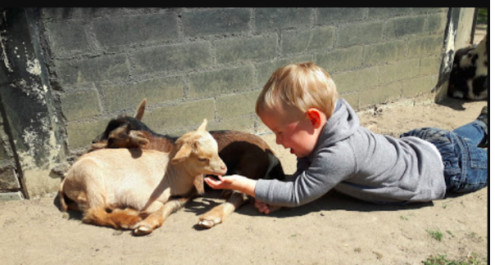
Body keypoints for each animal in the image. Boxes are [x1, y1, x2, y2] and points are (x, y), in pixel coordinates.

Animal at [59, 118, 228, 234]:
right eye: (202, 158)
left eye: (217, 151)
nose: (224, 168)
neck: (169, 174)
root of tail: (66, 180)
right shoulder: (137, 194)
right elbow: (156, 206)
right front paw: (137, 214)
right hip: (91, 179)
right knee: (94, 213)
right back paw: (129, 220)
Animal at [92, 98, 286, 227]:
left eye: (112, 139)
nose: (93, 142)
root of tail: (270, 153)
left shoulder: (190, 187)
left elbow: (169, 203)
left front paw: (148, 222)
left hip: (246, 168)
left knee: (241, 194)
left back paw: (211, 216)